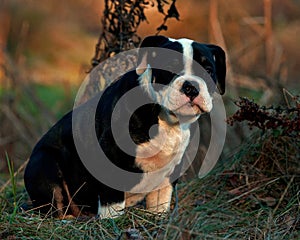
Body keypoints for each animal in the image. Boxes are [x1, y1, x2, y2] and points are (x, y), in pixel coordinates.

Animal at [23, 36, 225, 219]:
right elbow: (112, 197)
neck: (165, 120)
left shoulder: (170, 170)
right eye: (170, 67)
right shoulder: (111, 154)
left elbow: (161, 199)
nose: (191, 86)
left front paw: (158, 218)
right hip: (44, 162)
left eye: (208, 71)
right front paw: (112, 221)